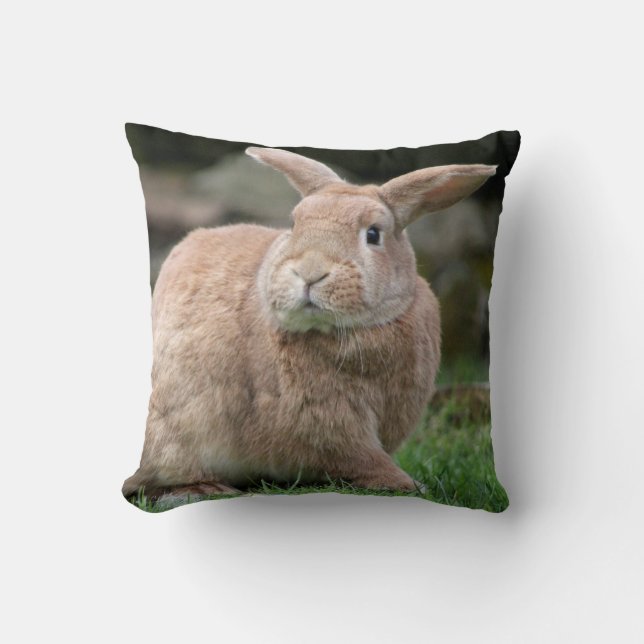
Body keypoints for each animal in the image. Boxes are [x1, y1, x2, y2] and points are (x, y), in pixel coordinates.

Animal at [122, 147, 496, 504]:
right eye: (294, 225)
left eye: (373, 234)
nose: (310, 272)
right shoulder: (329, 425)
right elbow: (362, 459)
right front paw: (410, 484)